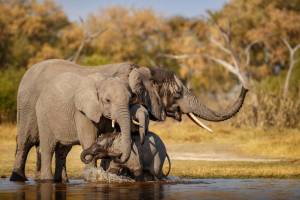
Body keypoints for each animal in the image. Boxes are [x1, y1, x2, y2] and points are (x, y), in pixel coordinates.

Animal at [10, 59, 165, 181]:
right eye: (107, 100)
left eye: (131, 97)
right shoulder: (82, 112)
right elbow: (89, 138)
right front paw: (93, 176)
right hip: (31, 108)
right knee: (29, 143)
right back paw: (23, 179)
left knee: (61, 150)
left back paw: (61, 181)